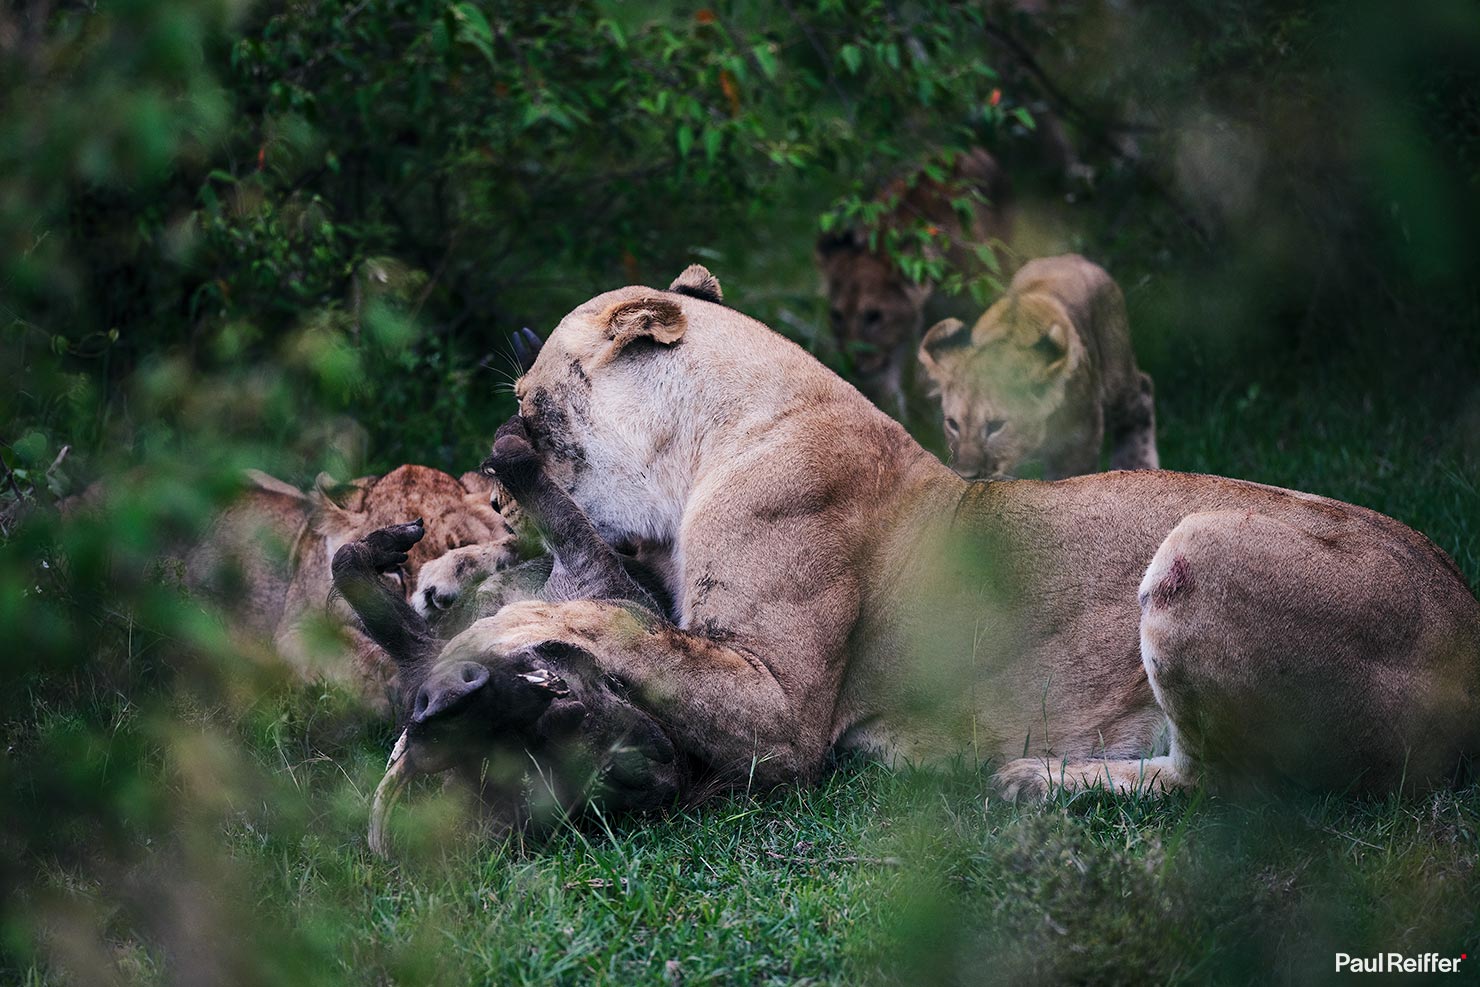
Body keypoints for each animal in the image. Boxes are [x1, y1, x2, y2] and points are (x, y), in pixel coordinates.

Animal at [919, 254, 1158, 479]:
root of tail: (1071, 258)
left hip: (1115, 374)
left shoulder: (1081, 443)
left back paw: (1138, 465)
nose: (966, 475)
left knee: (1142, 392)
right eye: (952, 424)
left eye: (996, 425)